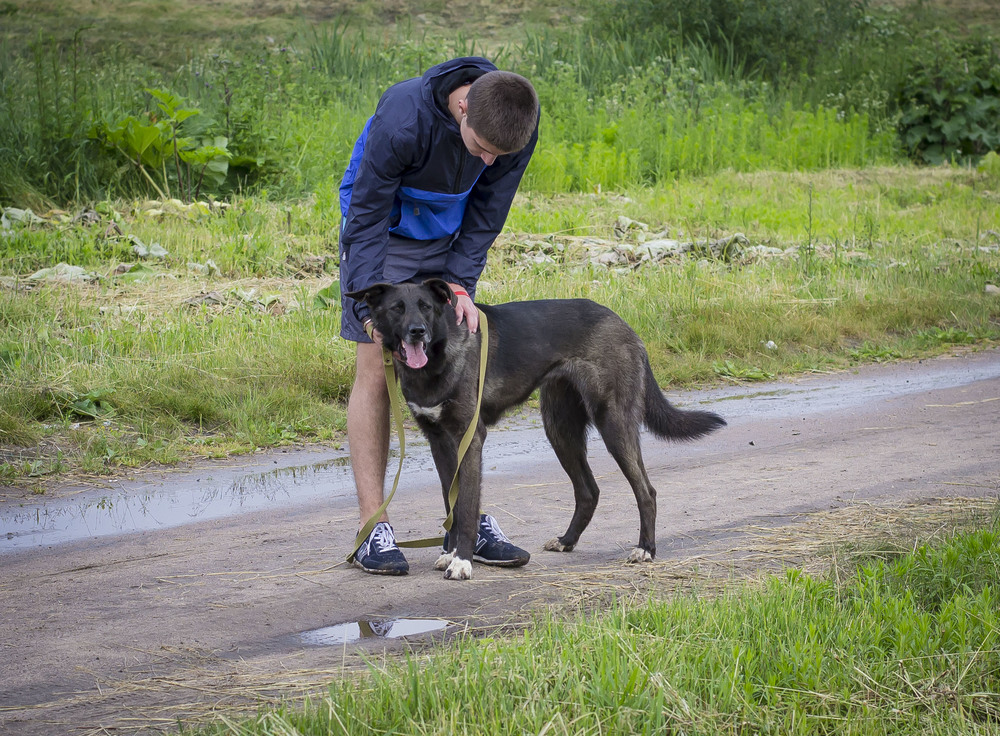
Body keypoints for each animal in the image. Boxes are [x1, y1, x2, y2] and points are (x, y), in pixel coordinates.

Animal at [348, 280, 724, 580]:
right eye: (397, 308)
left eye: (425, 307)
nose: (417, 332)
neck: (438, 356)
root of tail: (623, 324)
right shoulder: (439, 442)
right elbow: (450, 503)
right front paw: (450, 553)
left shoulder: (470, 439)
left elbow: (466, 507)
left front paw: (462, 562)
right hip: (560, 429)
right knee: (588, 490)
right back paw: (568, 540)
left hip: (614, 424)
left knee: (646, 490)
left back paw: (645, 548)